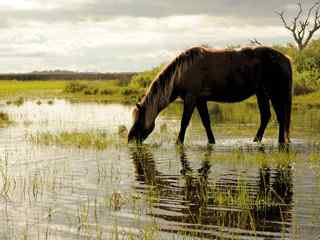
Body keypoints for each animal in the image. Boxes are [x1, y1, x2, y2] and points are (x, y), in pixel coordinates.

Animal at [128, 45, 292, 143]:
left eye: (139, 119)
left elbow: (184, 122)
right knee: (266, 116)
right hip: (261, 94)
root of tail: (285, 58)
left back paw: (280, 142)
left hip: (274, 93)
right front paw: (211, 141)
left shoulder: (191, 99)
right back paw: (256, 140)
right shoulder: (200, 100)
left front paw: (178, 142)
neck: (182, 72)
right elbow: (206, 122)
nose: (130, 139)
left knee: (280, 116)